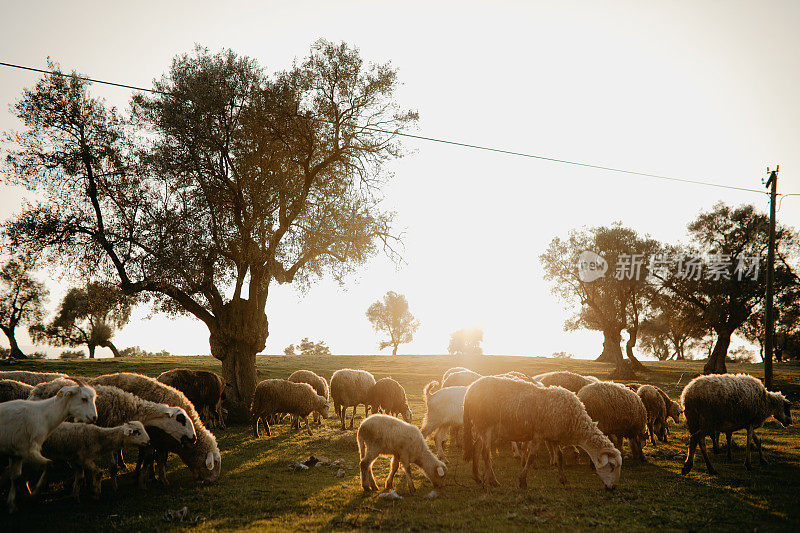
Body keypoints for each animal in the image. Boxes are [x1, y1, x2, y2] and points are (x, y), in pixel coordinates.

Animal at [0, 378, 97, 512]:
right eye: (84, 399)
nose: (94, 417)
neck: (43, 415)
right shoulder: (28, 451)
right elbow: (50, 465)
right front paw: (34, 495)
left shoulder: (16, 453)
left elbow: (15, 477)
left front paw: (12, 505)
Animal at [90, 372, 222, 484]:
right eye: (214, 463)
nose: (213, 481)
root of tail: (95, 380)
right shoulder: (153, 438)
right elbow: (150, 457)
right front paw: (151, 476)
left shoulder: (161, 441)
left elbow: (159, 458)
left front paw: (157, 476)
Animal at [462, 372, 624, 488]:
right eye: (612, 466)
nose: (613, 488)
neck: (574, 421)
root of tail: (469, 390)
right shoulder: (538, 435)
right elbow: (531, 456)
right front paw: (522, 481)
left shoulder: (553, 436)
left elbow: (559, 457)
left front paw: (563, 479)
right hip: (485, 425)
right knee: (485, 453)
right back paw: (493, 481)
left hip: (486, 428)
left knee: (476, 447)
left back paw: (477, 477)